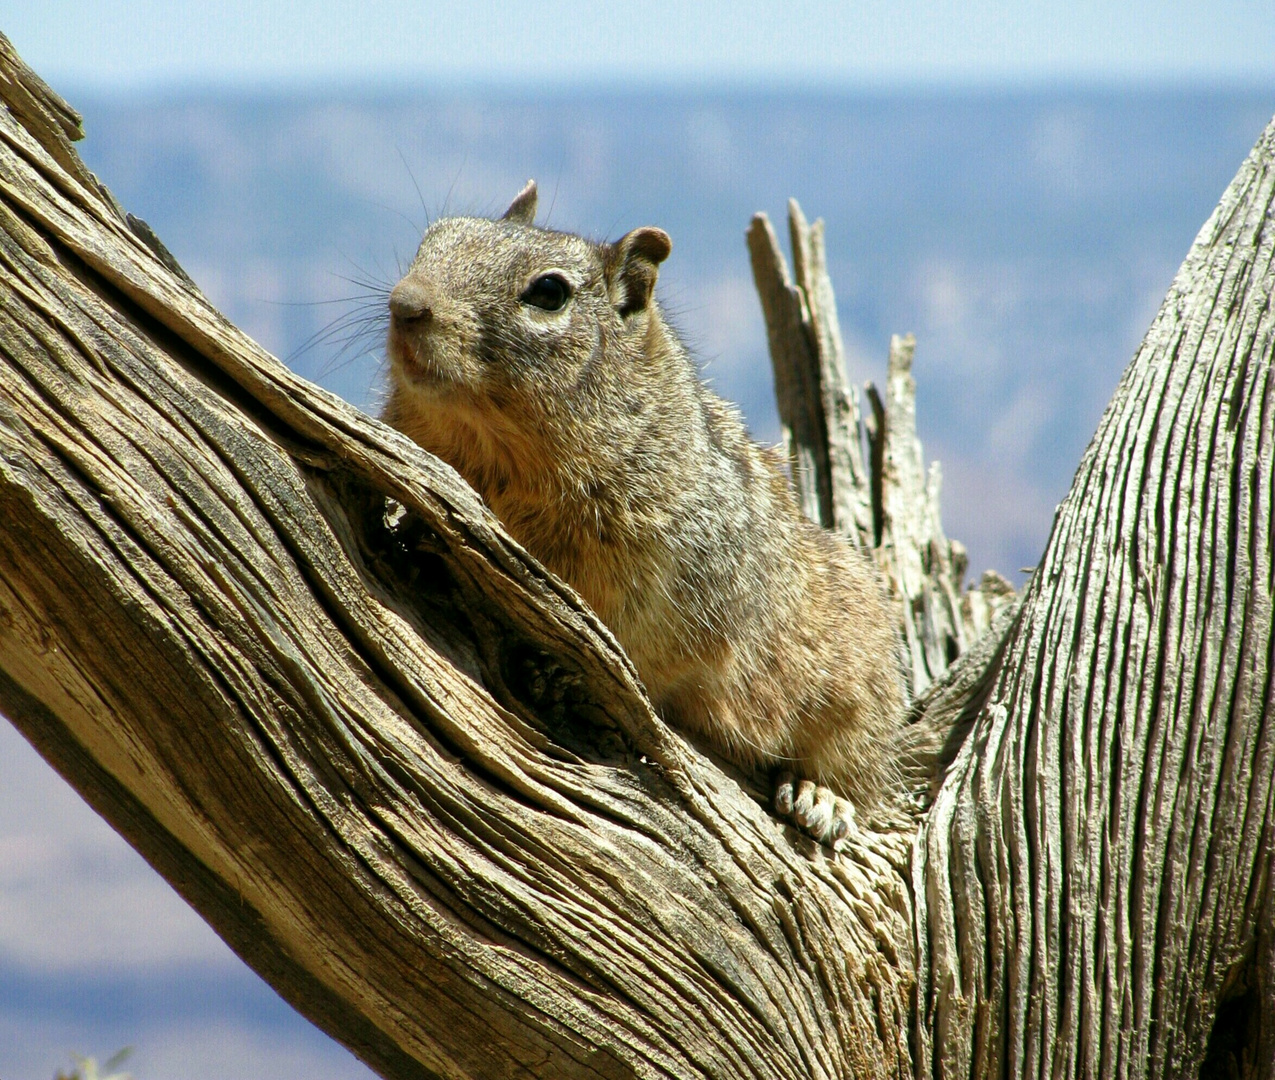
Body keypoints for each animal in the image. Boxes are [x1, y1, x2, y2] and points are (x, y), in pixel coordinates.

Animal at [382, 179, 902, 846]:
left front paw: (559, 668)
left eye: (548, 293)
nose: (406, 303)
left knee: (859, 765)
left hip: (859, 683)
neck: (494, 452)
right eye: (434, 239)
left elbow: (633, 645)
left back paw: (822, 797)